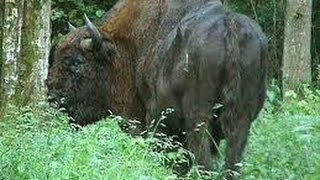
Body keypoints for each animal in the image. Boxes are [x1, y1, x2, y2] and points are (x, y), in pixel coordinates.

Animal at [47, 0, 268, 177]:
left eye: (76, 63)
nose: (52, 98)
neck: (124, 49)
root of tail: (230, 27)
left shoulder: (150, 120)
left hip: (198, 120)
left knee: (204, 161)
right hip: (241, 120)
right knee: (233, 160)